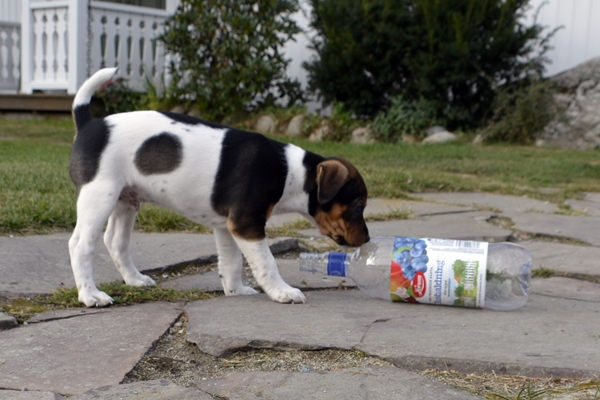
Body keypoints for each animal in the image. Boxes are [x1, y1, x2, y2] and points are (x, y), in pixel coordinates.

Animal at [68, 69, 368, 306]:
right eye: (357, 207)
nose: (366, 239)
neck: (290, 171)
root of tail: (88, 124)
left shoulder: (227, 226)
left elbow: (232, 262)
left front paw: (236, 291)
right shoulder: (247, 224)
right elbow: (266, 262)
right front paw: (282, 291)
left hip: (125, 200)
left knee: (115, 242)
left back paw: (135, 280)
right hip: (99, 197)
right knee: (80, 245)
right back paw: (91, 295)